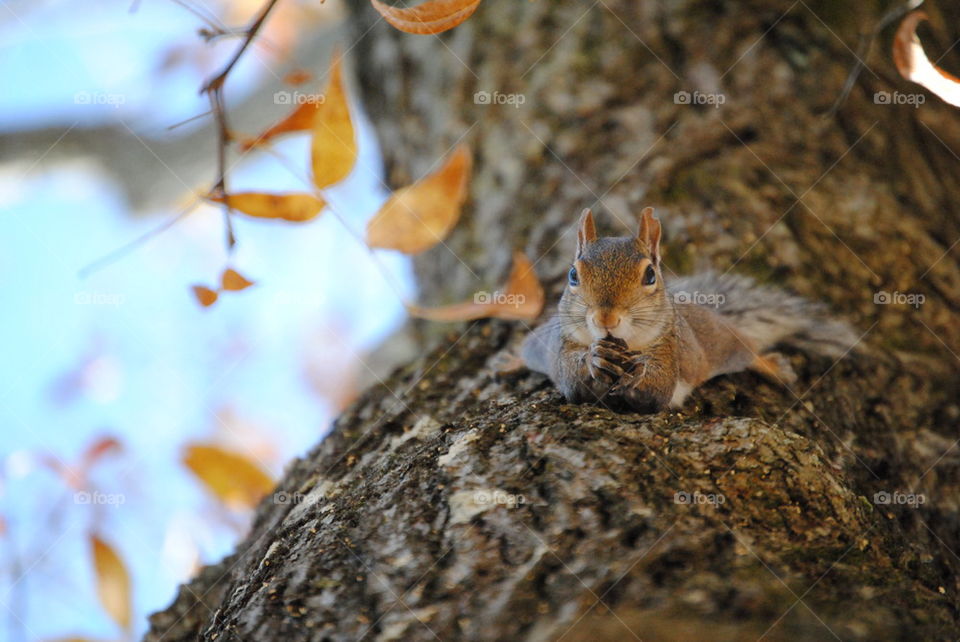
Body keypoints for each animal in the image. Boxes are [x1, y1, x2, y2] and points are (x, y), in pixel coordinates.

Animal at [521, 207, 859, 413]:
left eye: (650, 275)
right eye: (572, 275)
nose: (606, 319)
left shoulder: (669, 348)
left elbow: (658, 389)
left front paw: (640, 373)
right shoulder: (563, 344)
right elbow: (571, 380)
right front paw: (594, 357)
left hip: (722, 345)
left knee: (746, 349)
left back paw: (772, 367)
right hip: (538, 344)